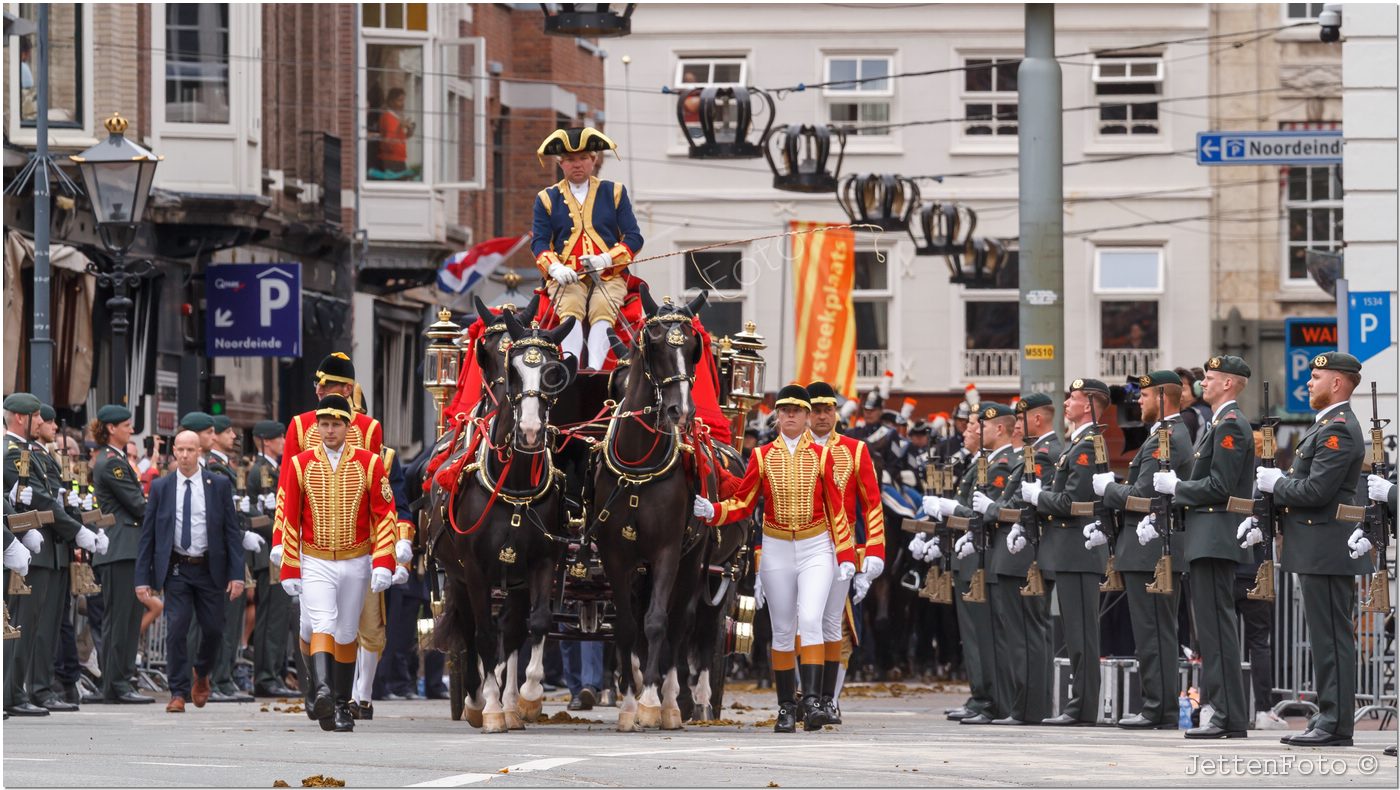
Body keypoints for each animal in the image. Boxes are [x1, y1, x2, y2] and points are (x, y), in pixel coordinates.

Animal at [596, 287, 711, 733]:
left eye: (694, 349)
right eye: (655, 344)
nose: (681, 411)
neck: (638, 463)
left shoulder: (666, 551)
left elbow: (657, 622)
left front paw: (649, 701)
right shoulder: (615, 555)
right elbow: (628, 628)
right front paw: (629, 705)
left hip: (693, 562)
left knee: (679, 626)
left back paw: (673, 701)